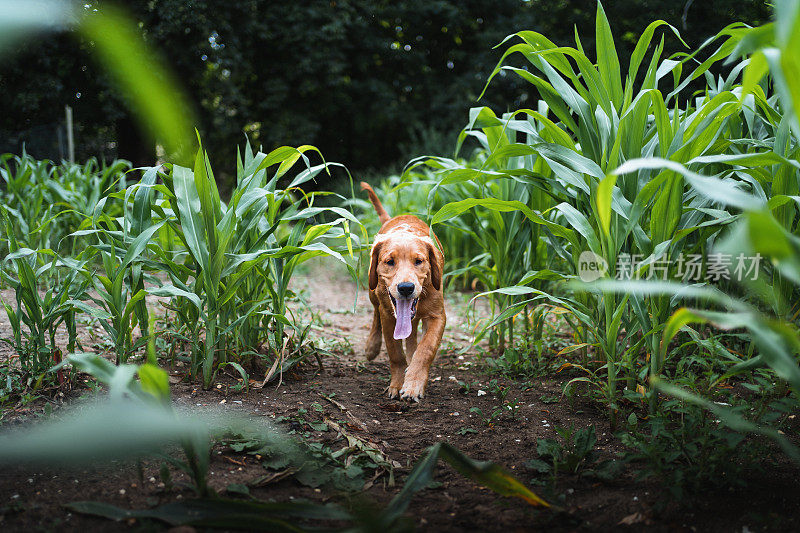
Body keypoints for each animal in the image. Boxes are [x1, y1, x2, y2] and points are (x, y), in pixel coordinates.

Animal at [360, 182, 446, 400]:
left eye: (419, 261)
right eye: (390, 262)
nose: (406, 288)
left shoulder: (438, 316)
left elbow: (425, 349)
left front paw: (414, 384)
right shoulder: (389, 316)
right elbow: (395, 353)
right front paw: (398, 384)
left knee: (413, 336)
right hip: (373, 293)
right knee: (376, 313)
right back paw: (372, 346)